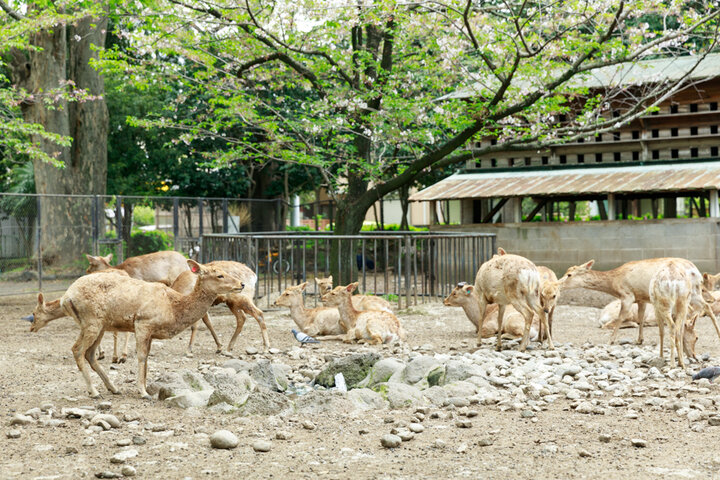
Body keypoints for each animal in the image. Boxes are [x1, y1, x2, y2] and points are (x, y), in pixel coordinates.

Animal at [62, 260, 242, 400]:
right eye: (219, 275)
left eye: (225, 272)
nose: (242, 284)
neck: (173, 309)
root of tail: (65, 298)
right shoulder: (143, 323)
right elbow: (141, 357)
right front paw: (143, 392)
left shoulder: (151, 333)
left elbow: (147, 358)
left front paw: (147, 388)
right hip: (91, 320)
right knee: (77, 349)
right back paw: (94, 391)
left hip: (100, 324)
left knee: (90, 353)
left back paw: (113, 388)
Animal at [564, 258, 720, 344]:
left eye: (569, 274)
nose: (559, 283)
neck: (614, 283)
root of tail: (696, 271)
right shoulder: (641, 298)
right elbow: (641, 317)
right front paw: (639, 340)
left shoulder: (627, 295)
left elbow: (621, 317)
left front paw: (611, 340)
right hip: (693, 293)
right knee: (705, 307)